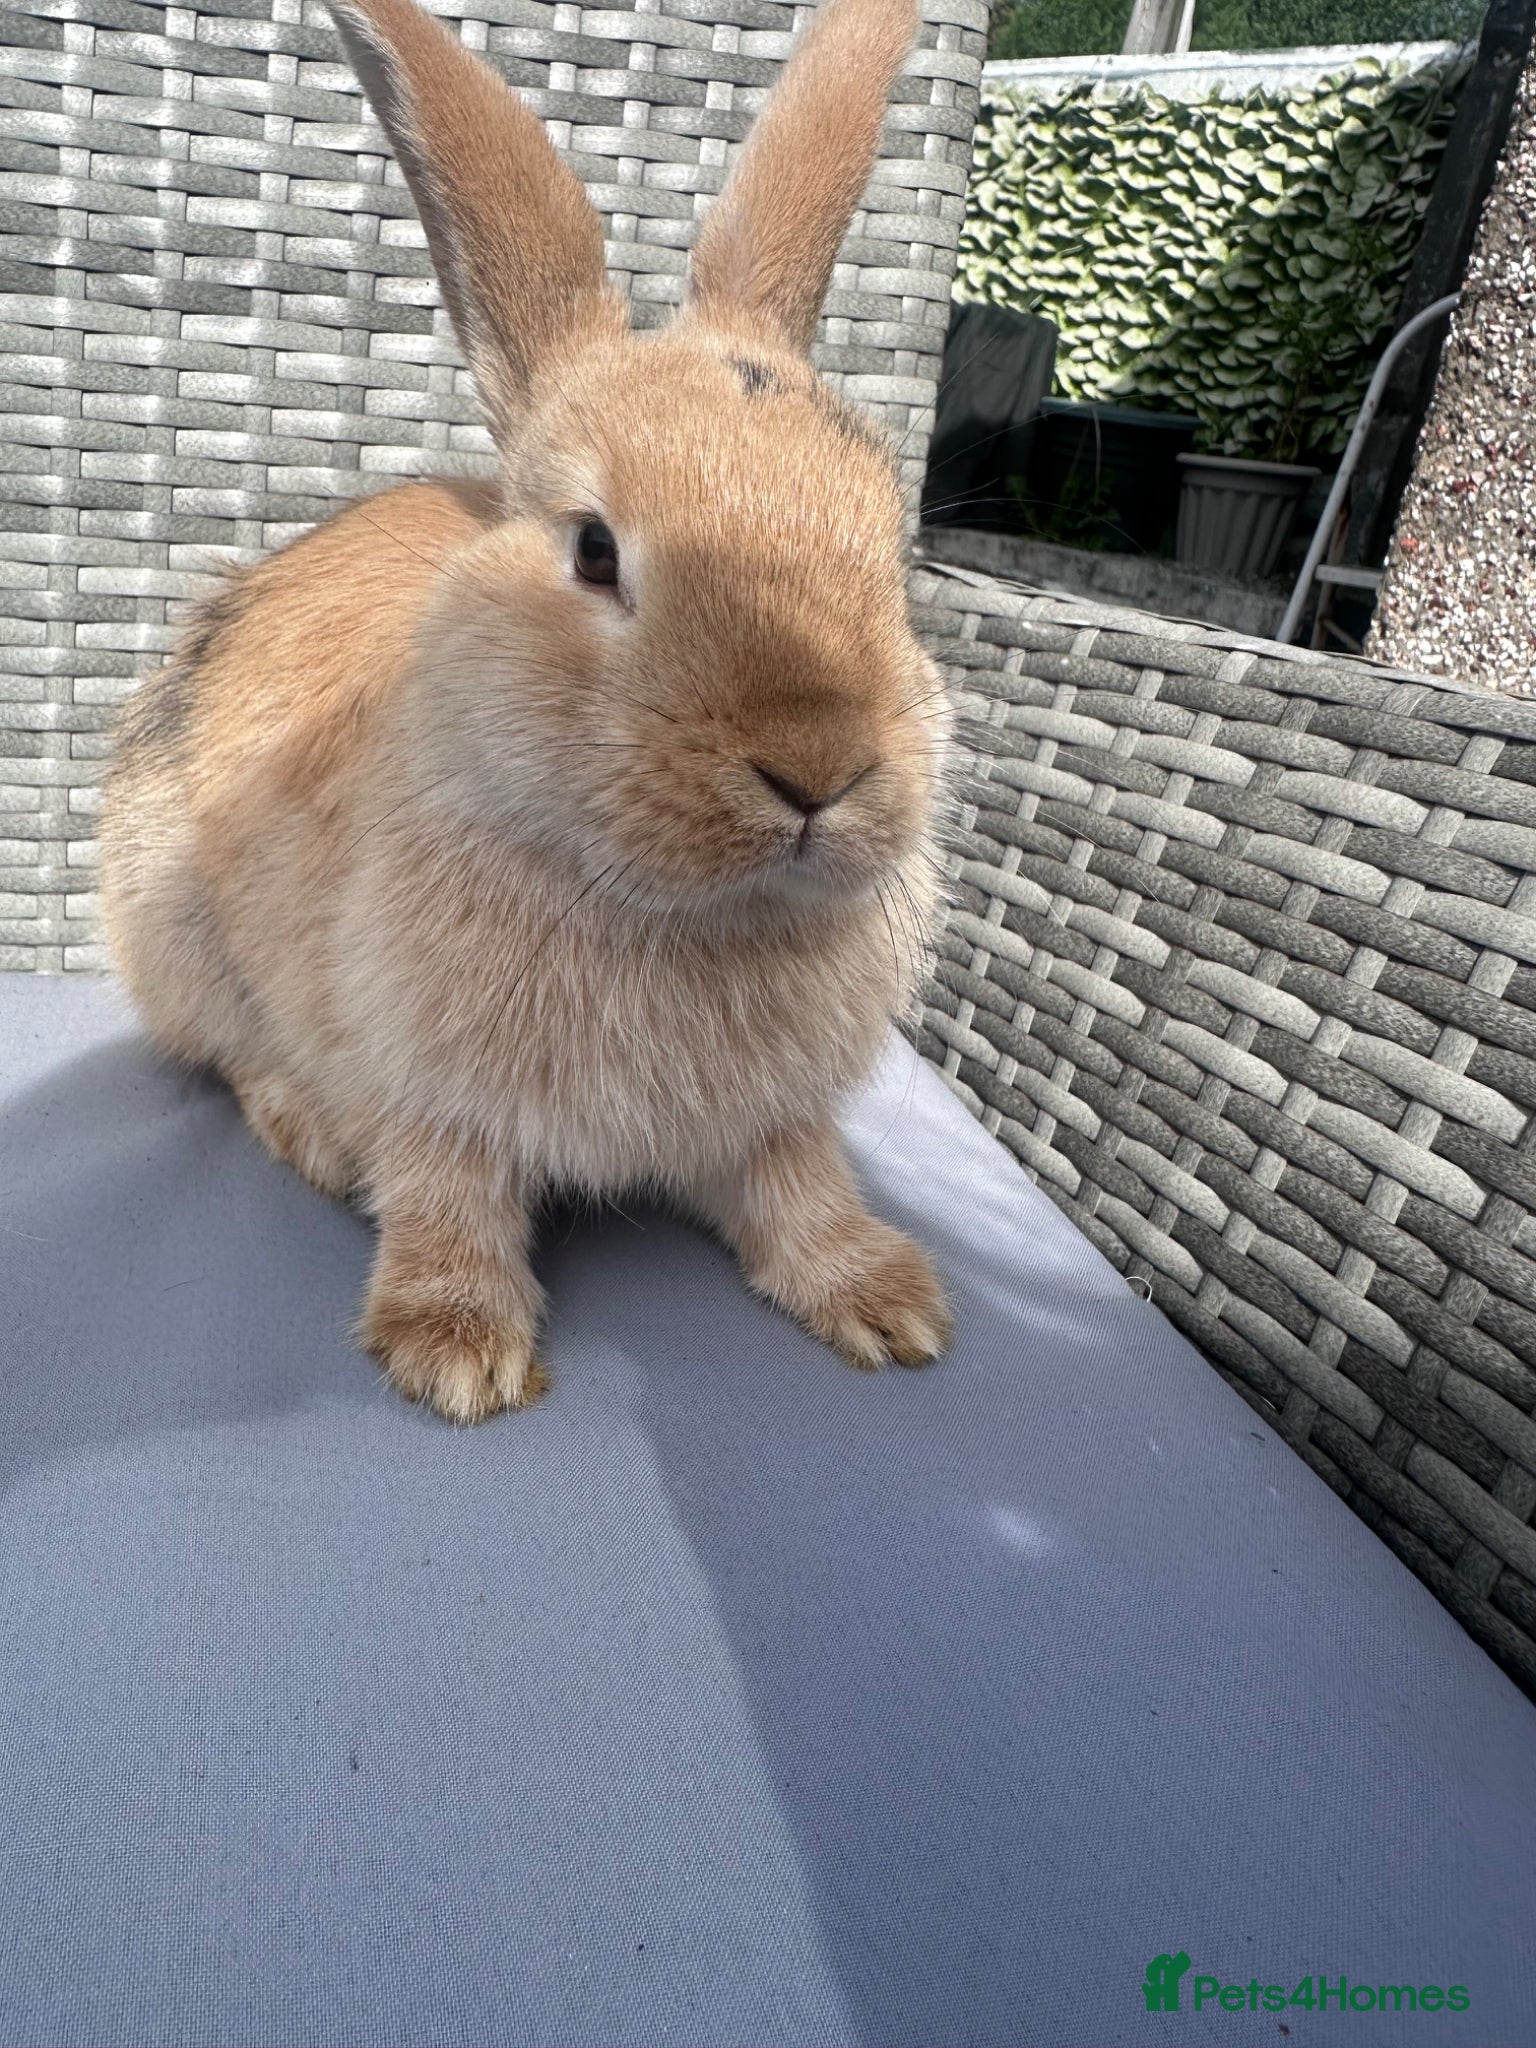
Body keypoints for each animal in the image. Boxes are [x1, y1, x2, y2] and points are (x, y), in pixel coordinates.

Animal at [99, 0, 954, 1423]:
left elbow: (801, 1188)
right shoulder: (427, 1089)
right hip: (177, 934)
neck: (669, 909)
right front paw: (455, 1354)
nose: (818, 763)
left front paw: (890, 1304)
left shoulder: (775, 1119)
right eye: (597, 551)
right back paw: (313, 1139)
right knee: (233, 1060)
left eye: (893, 555)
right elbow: (447, 1195)